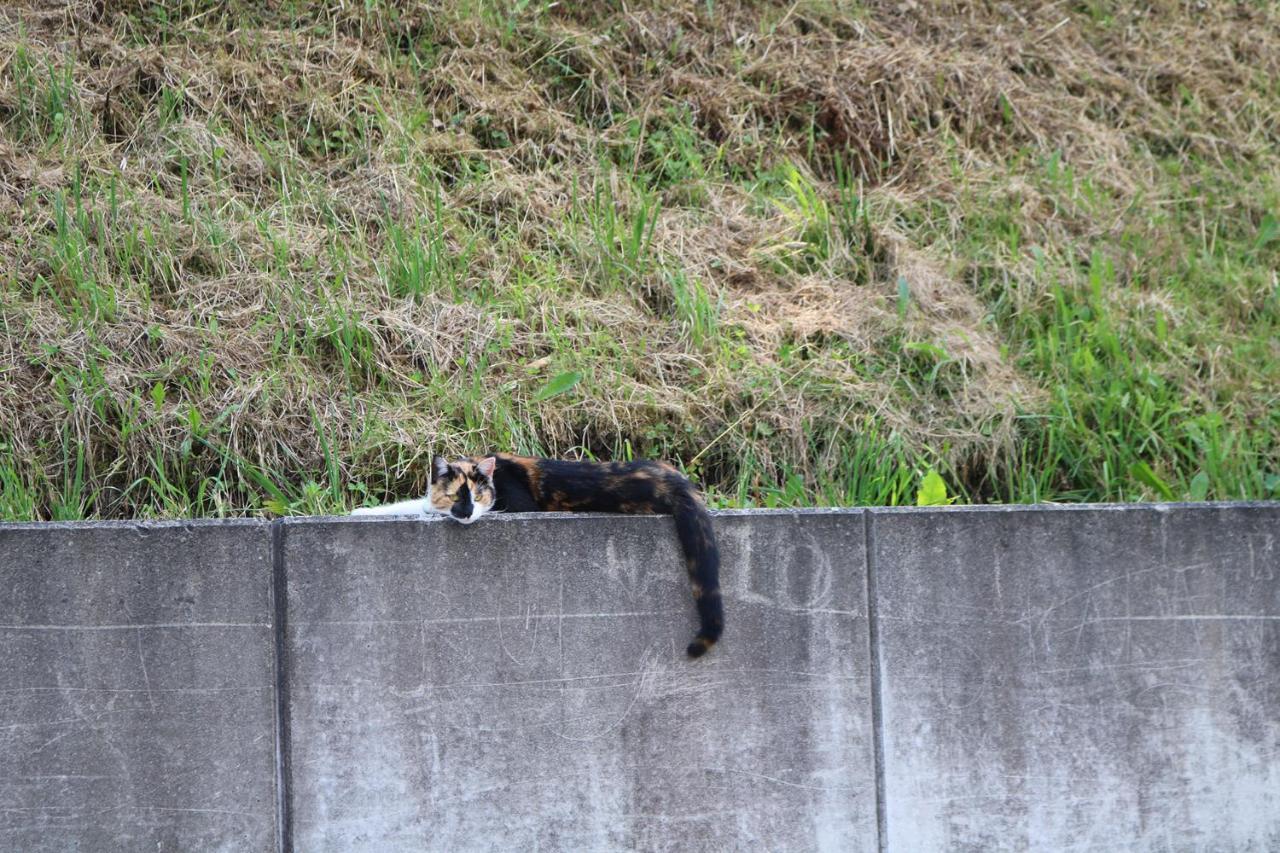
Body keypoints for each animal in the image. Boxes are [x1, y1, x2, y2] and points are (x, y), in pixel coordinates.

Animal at [350, 450, 727, 655]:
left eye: (479, 496)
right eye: (457, 495)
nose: (468, 513)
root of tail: (676, 479)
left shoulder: (515, 506)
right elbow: (415, 504)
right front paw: (361, 512)